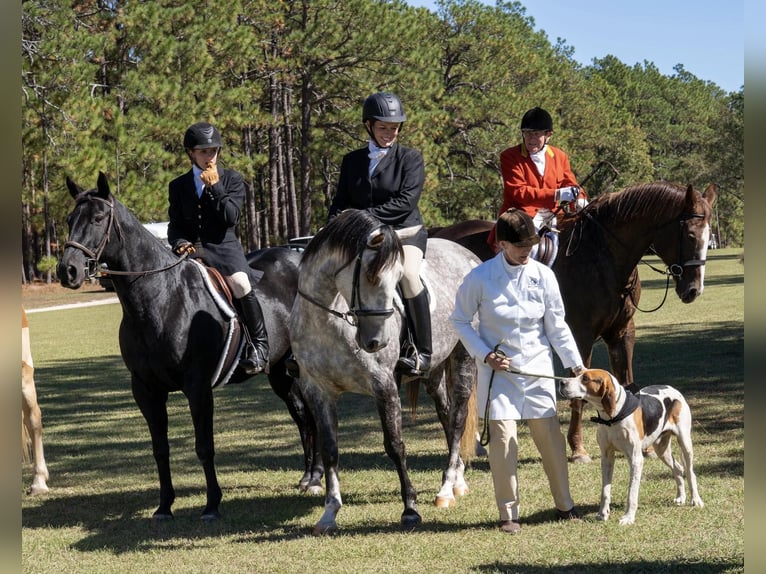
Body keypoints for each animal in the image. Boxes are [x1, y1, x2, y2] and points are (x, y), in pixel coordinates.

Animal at [56, 173, 316, 524]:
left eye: (98, 218)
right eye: (70, 220)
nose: (67, 271)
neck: (162, 298)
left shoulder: (197, 387)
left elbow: (204, 446)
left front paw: (212, 504)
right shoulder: (146, 390)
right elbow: (160, 449)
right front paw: (164, 505)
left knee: (312, 414)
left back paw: (316, 479)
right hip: (279, 372)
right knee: (302, 415)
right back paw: (308, 477)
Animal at [436, 184, 716, 464]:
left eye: (709, 235)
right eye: (690, 235)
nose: (693, 290)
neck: (603, 256)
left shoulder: (622, 333)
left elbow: (629, 385)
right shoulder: (580, 334)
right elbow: (579, 394)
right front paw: (578, 448)